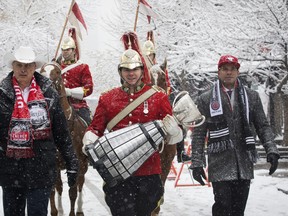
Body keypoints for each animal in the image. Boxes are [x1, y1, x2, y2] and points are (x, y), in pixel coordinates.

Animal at [40, 62, 88, 216]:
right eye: (41, 71)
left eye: (56, 72)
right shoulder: (53, 165)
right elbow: (54, 190)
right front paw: (57, 211)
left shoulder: (76, 164)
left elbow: (72, 192)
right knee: (60, 187)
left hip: (84, 166)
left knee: (80, 184)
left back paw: (79, 209)